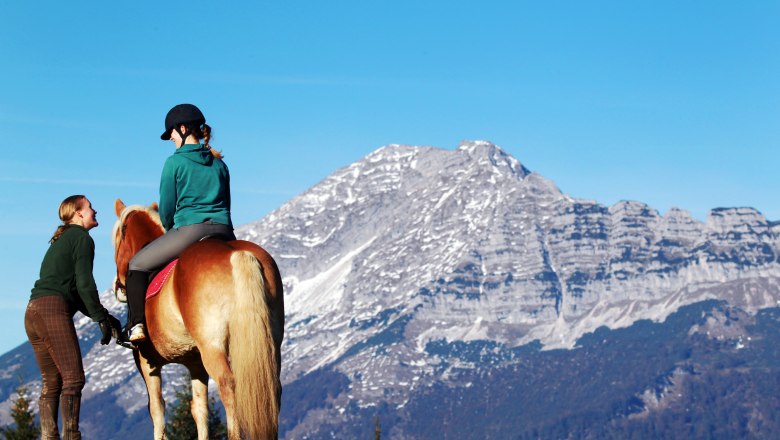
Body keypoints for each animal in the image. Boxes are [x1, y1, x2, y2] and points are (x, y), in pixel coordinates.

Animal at [111, 200, 284, 440]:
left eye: (118, 238)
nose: (117, 285)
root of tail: (238, 254)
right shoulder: (195, 364)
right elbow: (199, 409)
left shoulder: (146, 362)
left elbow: (157, 411)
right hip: (270, 341)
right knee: (273, 388)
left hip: (212, 347)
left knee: (228, 386)